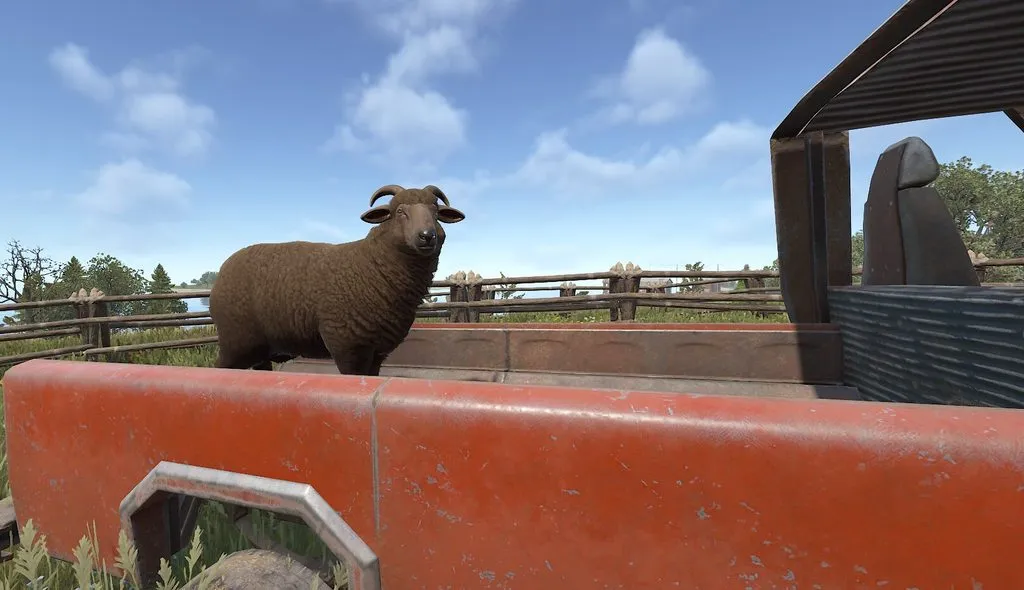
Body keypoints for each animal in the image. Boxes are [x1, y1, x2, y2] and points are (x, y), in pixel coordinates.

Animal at [208, 183, 465, 375]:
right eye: (399, 211)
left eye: (435, 212)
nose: (427, 236)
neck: (372, 265)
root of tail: (224, 268)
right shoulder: (347, 348)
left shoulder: (376, 353)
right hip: (236, 343)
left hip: (258, 348)